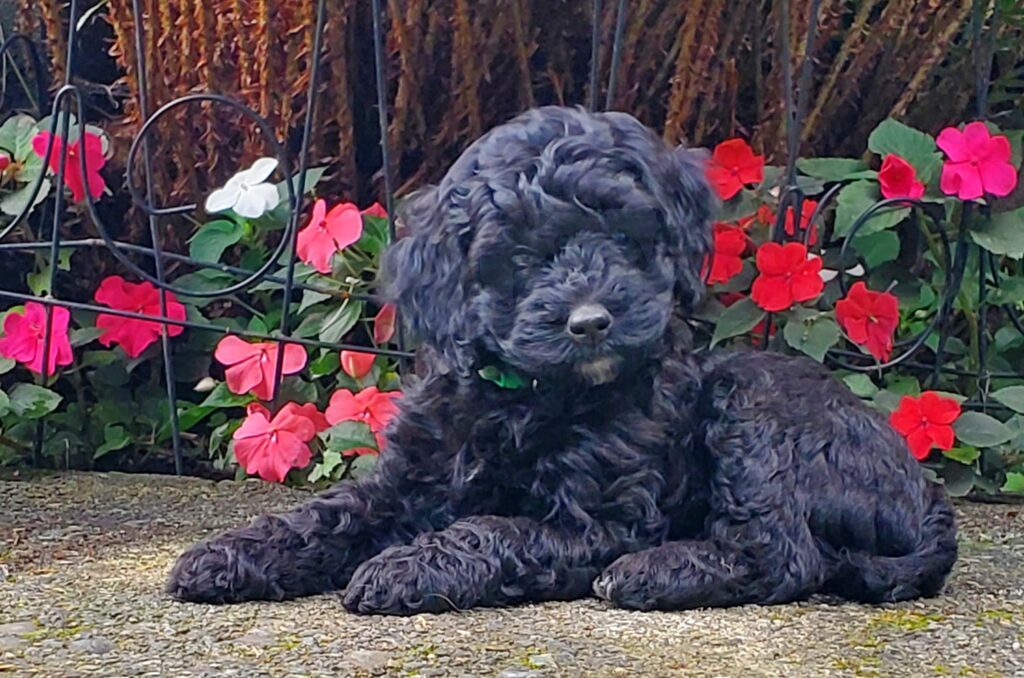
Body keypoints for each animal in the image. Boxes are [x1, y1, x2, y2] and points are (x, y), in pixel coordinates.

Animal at [163, 106, 954, 614]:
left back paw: (654, 574)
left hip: (751, 398)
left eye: (627, 238)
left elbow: (494, 529)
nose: (592, 321)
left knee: (786, 554)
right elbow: (326, 515)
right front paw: (229, 553)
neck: (522, 396)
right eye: (520, 257)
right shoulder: (407, 480)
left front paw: (406, 567)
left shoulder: (602, 521)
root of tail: (928, 500)